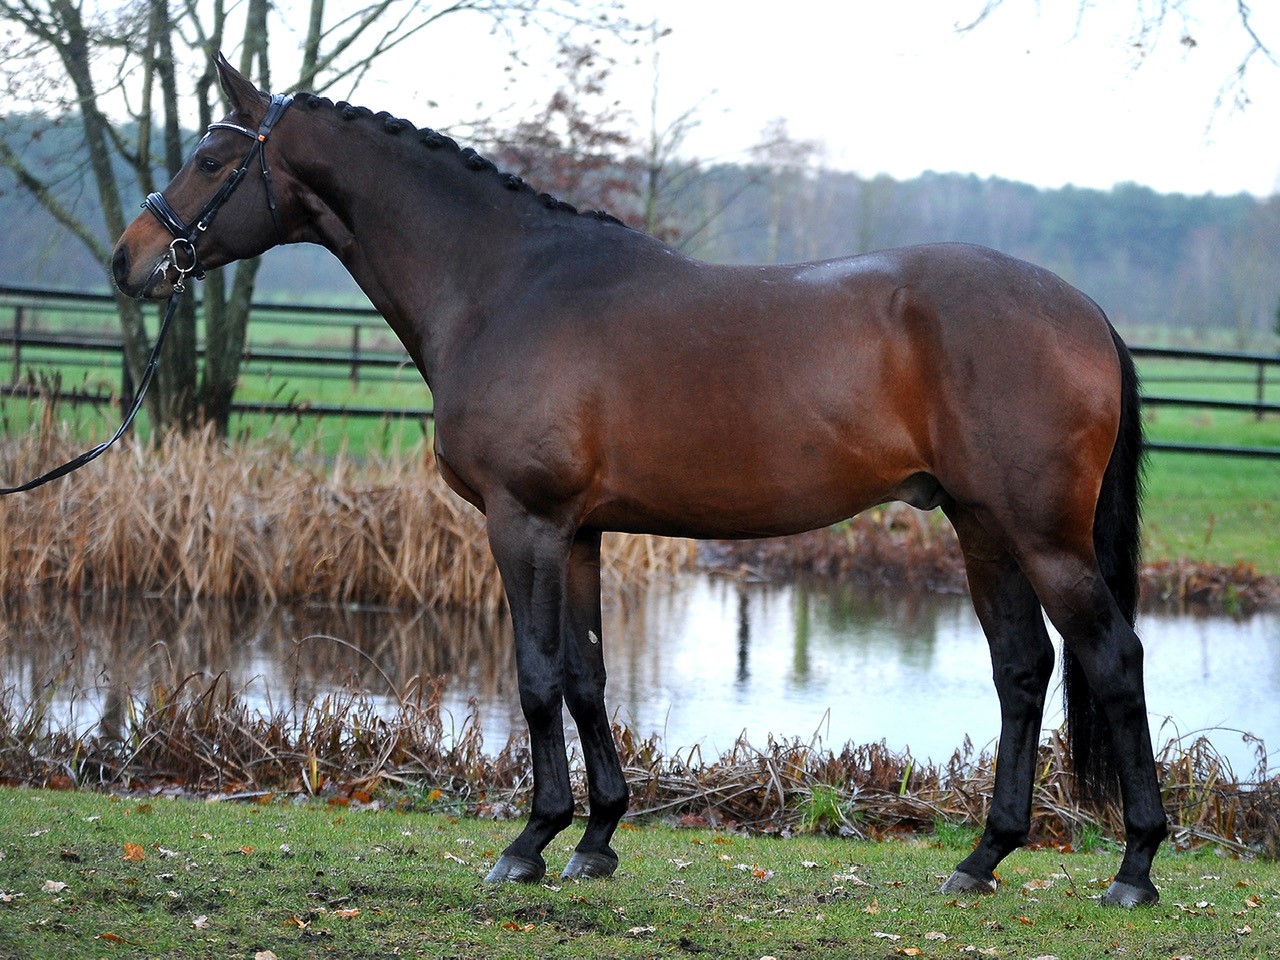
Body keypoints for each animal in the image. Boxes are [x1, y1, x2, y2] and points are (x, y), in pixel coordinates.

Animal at [115, 56, 1167, 906]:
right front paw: (597, 839)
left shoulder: (524, 523)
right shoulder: (578, 532)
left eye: (210, 159)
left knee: (1112, 658)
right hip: (982, 526)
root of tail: (1081, 308)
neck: (505, 285)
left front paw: (529, 843)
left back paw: (1135, 867)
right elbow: (586, 676)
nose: (132, 261)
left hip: (1041, 535)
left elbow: (537, 674)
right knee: (1022, 669)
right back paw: (982, 859)